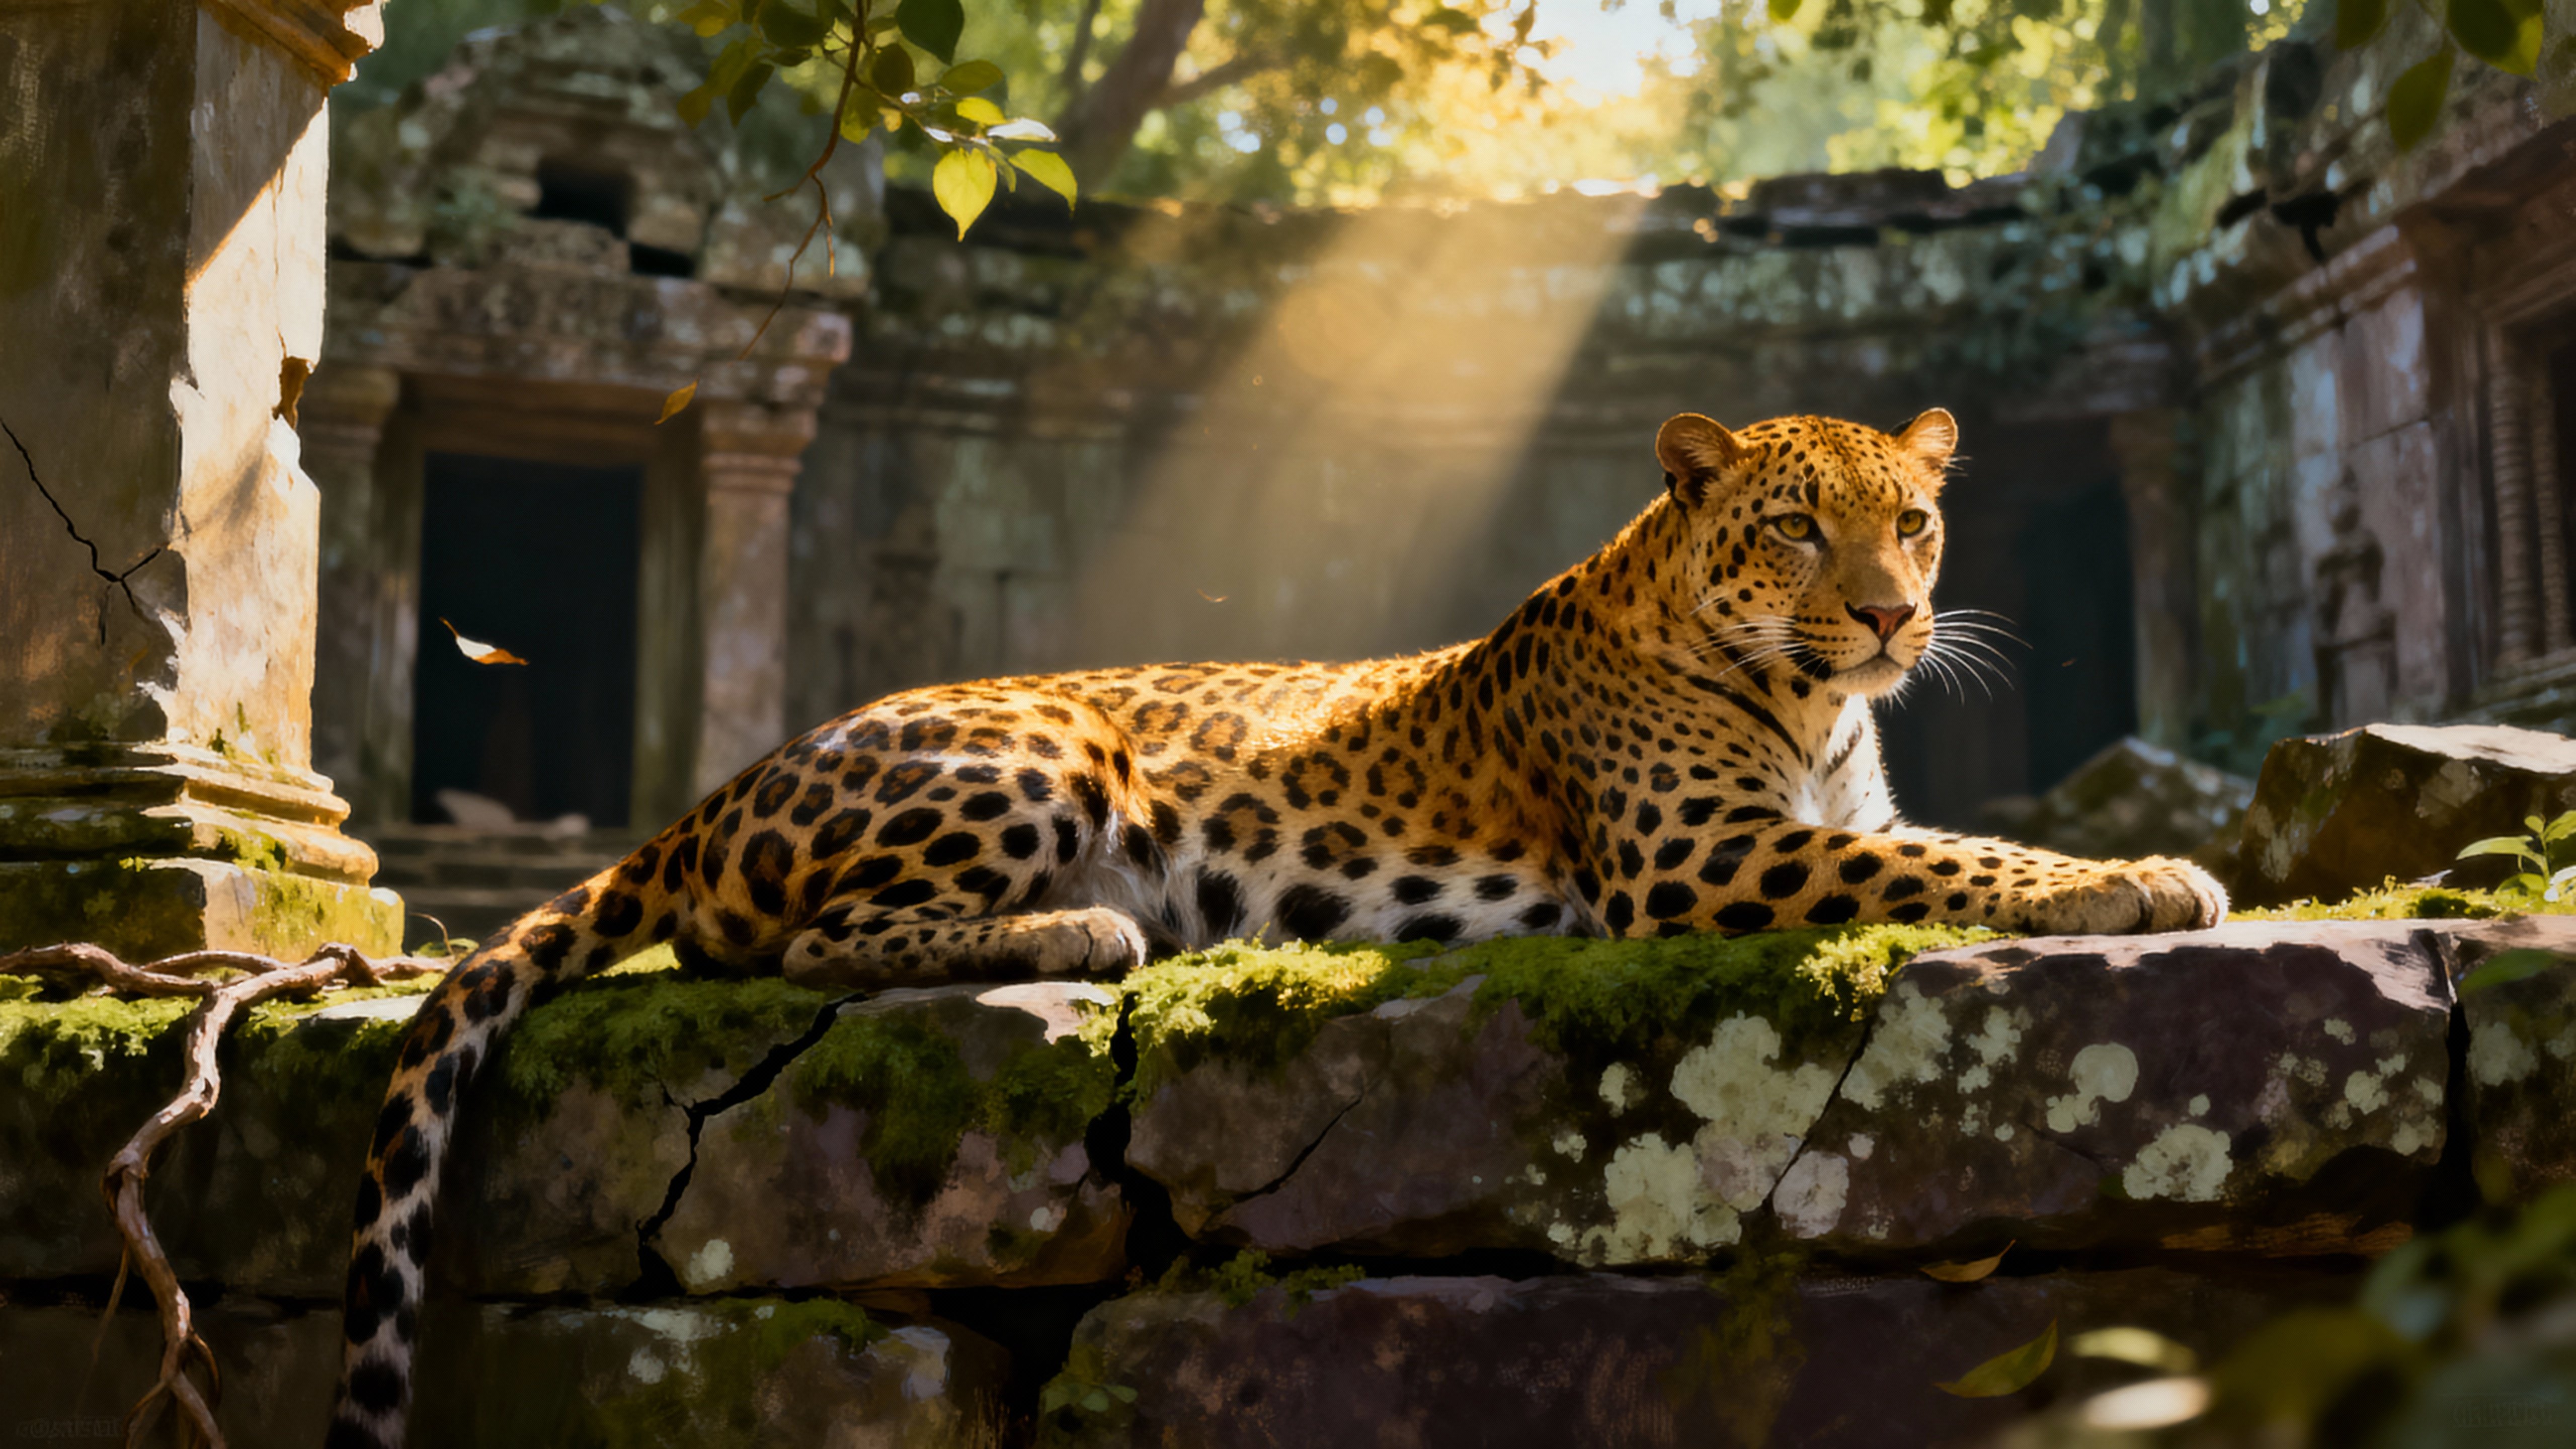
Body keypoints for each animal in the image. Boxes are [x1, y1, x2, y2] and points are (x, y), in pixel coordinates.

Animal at [326, 407, 2226, 1447]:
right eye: (1795, 530)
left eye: (1911, 521)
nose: (1896, 618)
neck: (1812, 709)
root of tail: (714, 794)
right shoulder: (1700, 860)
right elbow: (1958, 868)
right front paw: (2140, 879)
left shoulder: (1823, 822)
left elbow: (1938, 845)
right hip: (1044, 746)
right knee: (799, 947)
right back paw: (1087, 936)